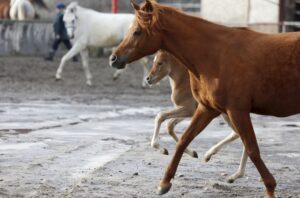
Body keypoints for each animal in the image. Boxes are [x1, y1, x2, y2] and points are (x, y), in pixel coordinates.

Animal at [110, 0, 300, 197]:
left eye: (137, 31)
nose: (113, 58)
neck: (215, 55)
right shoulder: (207, 109)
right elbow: (183, 139)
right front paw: (164, 183)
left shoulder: (237, 111)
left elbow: (252, 149)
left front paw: (270, 188)